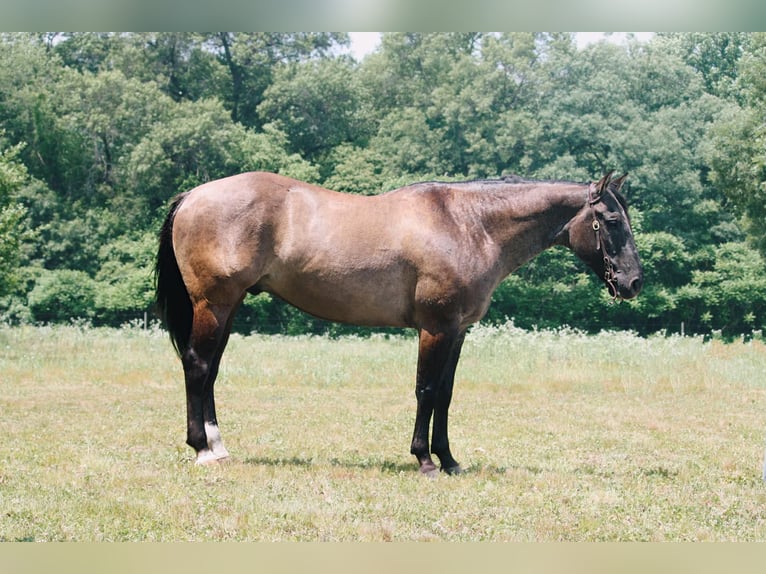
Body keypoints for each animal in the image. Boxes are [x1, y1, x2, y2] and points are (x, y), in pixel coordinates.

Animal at [154, 170, 640, 476]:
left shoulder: (458, 331)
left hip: (228, 306)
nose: (633, 282)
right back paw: (202, 450)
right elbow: (426, 390)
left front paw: (450, 460)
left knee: (211, 372)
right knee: (198, 366)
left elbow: (445, 394)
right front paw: (424, 460)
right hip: (213, 304)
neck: (469, 224)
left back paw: (218, 445)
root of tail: (192, 196)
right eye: (611, 220)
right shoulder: (436, 328)